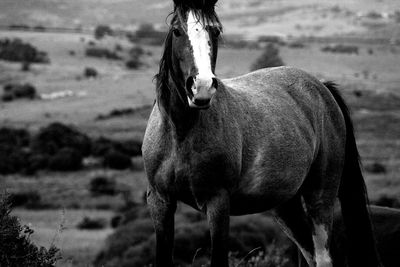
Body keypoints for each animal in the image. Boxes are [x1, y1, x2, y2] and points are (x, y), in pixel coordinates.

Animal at [142, 1, 382, 266]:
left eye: (215, 30)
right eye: (177, 31)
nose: (201, 87)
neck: (180, 133)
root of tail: (322, 89)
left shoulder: (218, 203)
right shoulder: (160, 202)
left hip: (320, 197)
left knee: (323, 255)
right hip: (285, 206)